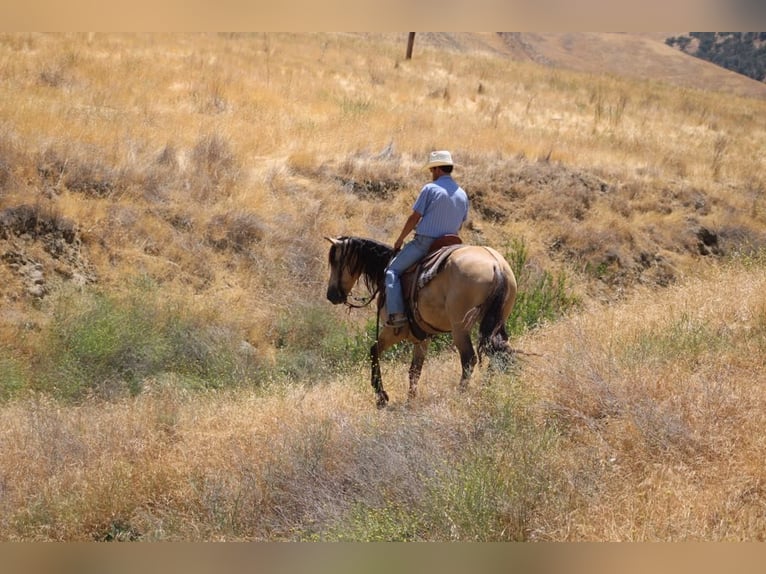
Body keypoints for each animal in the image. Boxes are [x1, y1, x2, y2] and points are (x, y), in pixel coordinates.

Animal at [325, 235, 517, 408]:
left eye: (335, 262)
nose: (331, 295)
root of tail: (496, 266)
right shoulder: (423, 337)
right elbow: (415, 370)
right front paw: (410, 401)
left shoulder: (394, 330)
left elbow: (374, 351)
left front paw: (381, 396)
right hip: (496, 323)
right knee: (497, 353)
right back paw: (488, 389)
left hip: (460, 329)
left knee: (469, 359)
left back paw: (460, 395)